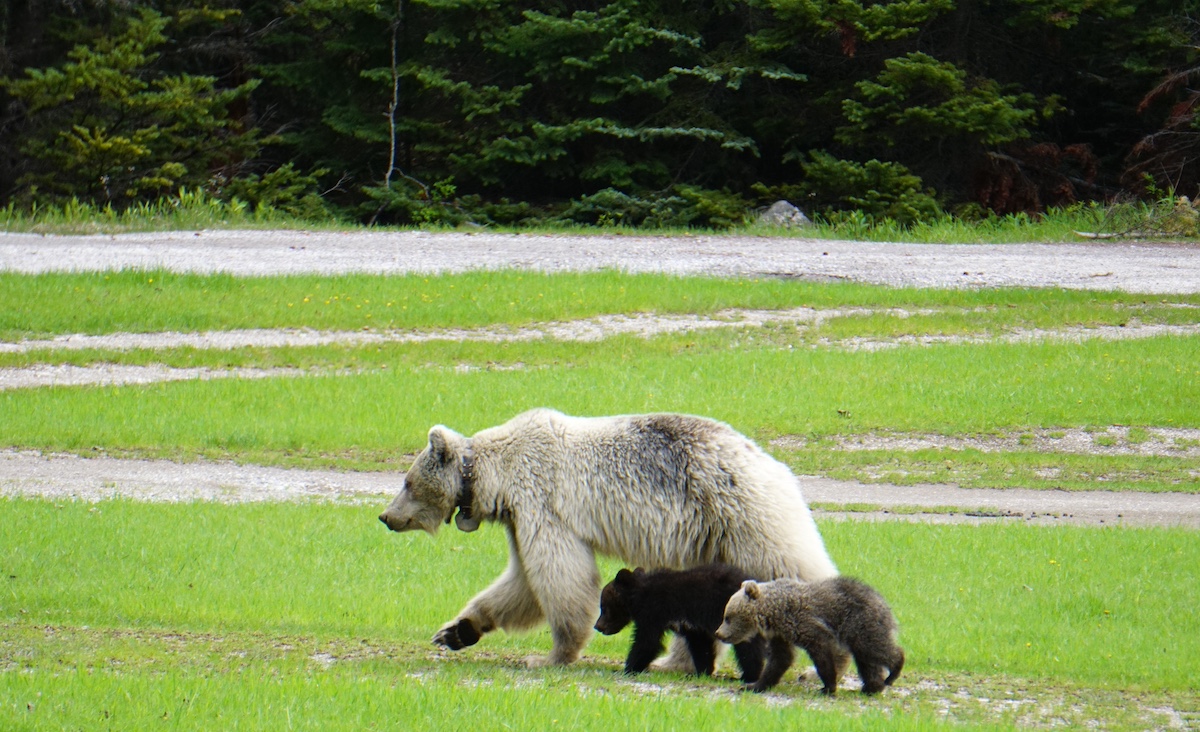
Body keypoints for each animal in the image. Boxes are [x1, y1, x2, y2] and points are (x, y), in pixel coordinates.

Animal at [378, 408, 838, 668]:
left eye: (406, 481)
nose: (385, 517)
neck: (497, 477)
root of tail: (774, 463)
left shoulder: (542, 503)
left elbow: (560, 576)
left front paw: (550, 655)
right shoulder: (518, 519)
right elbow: (521, 583)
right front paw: (456, 631)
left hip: (743, 515)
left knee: (791, 566)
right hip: (712, 538)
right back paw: (678, 662)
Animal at [594, 564, 765, 682]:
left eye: (603, 606)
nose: (597, 626)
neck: (640, 596)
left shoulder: (654, 612)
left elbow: (647, 643)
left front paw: (628, 668)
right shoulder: (693, 627)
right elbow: (701, 647)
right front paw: (702, 671)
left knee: (748, 647)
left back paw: (748, 675)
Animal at [715, 576, 904, 695]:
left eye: (727, 617)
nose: (719, 633)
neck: (775, 612)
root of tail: (884, 604)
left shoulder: (807, 625)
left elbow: (822, 654)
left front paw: (828, 686)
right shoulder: (781, 635)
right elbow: (780, 659)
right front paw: (754, 685)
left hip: (860, 623)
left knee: (874, 648)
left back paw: (894, 670)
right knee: (867, 660)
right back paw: (871, 687)